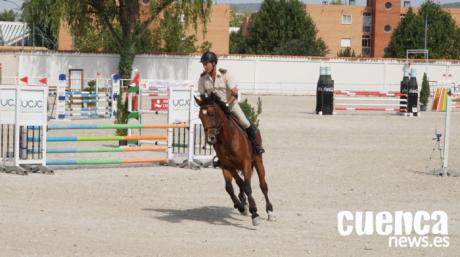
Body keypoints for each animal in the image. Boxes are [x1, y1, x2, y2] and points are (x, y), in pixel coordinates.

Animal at [193, 93, 274, 224]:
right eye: (200, 116)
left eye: (212, 114)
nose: (210, 139)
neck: (227, 139)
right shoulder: (226, 166)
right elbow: (229, 188)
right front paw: (241, 206)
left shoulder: (246, 163)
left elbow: (248, 187)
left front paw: (255, 214)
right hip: (234, 167)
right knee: (240, 182)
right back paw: (243, 202)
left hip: (258, 161)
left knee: (262, 185)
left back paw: (270, 212)